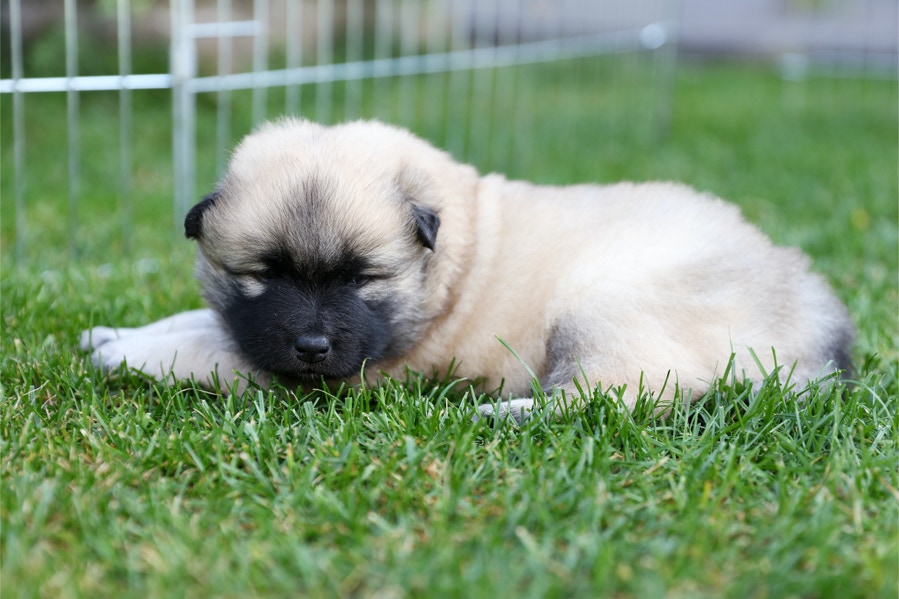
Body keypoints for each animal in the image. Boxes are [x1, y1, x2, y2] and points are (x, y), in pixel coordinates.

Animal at [81, 118, 855, 421]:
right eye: (264, 273)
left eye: (362, 278)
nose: (311, 346)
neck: (454, 258)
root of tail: (823, 331)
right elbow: (205, 320)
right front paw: (117, 332)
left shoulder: (346, 374)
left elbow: (210, 348)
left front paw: (126, 354)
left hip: (608, 307)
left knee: (614, 395)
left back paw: (500, 413)